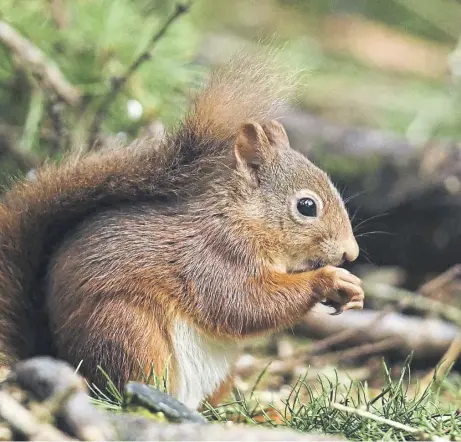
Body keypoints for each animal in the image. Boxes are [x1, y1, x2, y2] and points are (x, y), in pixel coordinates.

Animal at [0, 53, 362, 410]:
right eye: (306, 206)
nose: (351, 253)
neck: (244, 218)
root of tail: (60, 357)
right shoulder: (214, 256)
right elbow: (244, 303)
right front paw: (329, 279)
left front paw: (352, 293)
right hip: (127, 329)